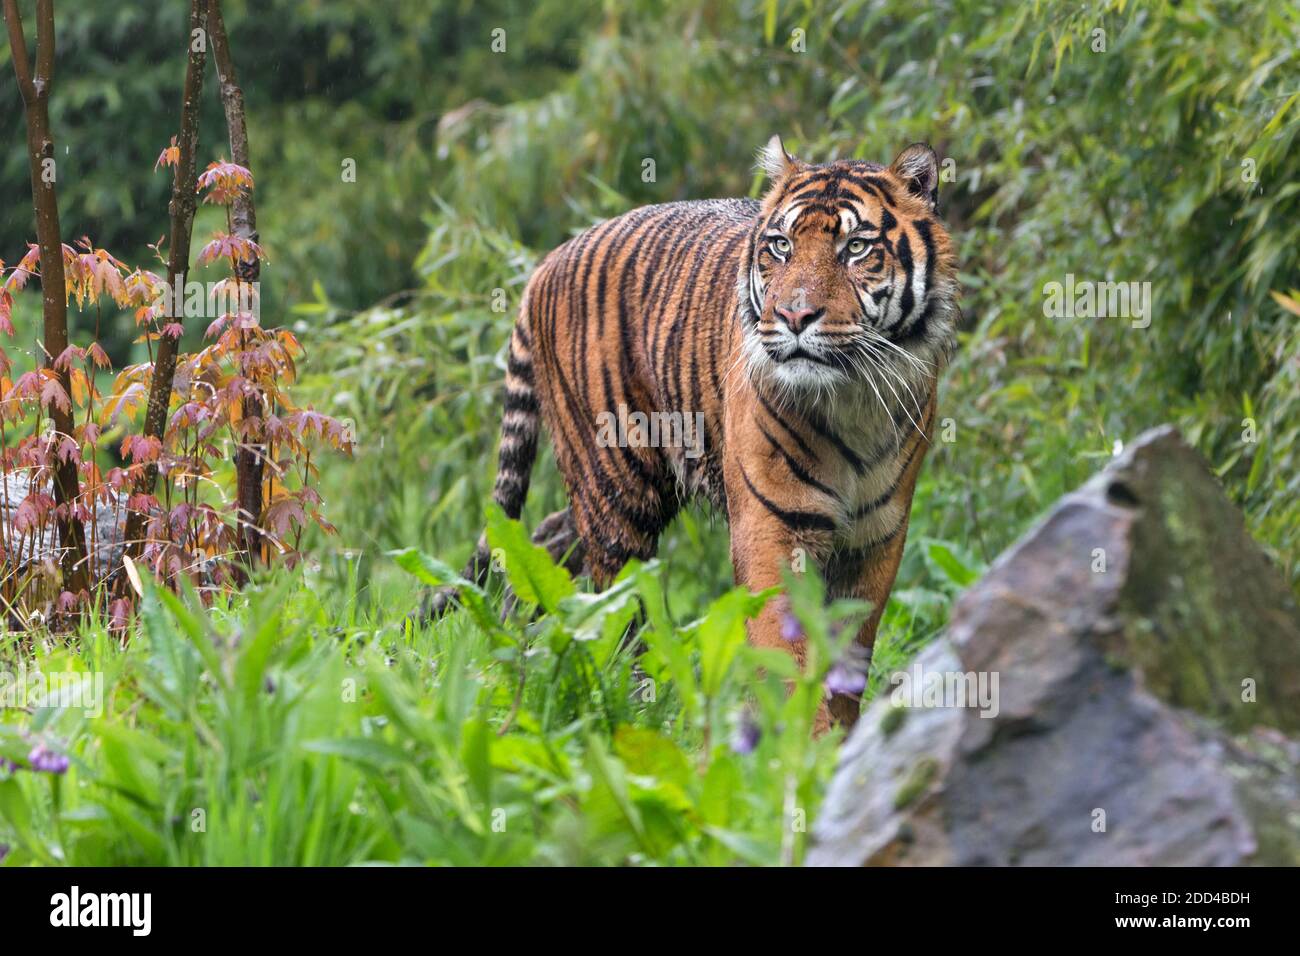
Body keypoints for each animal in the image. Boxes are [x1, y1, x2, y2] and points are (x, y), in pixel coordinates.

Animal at [426, 138, 956, 728]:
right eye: (780, 246)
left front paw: (840, 737)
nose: (794, 316)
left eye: (857, 248)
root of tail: (546, 264)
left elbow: (846, 658)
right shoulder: (774, 528)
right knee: (619, 605)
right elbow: (786, 648)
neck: (852, 398)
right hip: (616, 485)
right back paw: (630, 707)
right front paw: (794, 740)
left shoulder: (875, 538)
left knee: (544, 538)